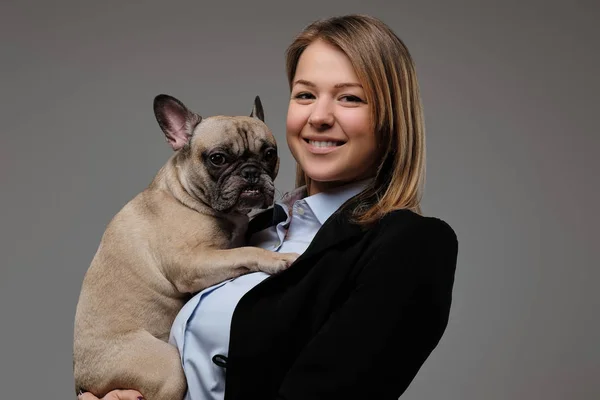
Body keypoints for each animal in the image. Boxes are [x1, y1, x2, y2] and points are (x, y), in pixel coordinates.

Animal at [74, 94, 298, 400]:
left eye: (269, 154)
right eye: (218, 158)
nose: (251, 172)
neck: (186, 196)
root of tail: (82, 379)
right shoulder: (192, 263)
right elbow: (245, 252)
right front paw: (279, 258)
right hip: (167, 369)